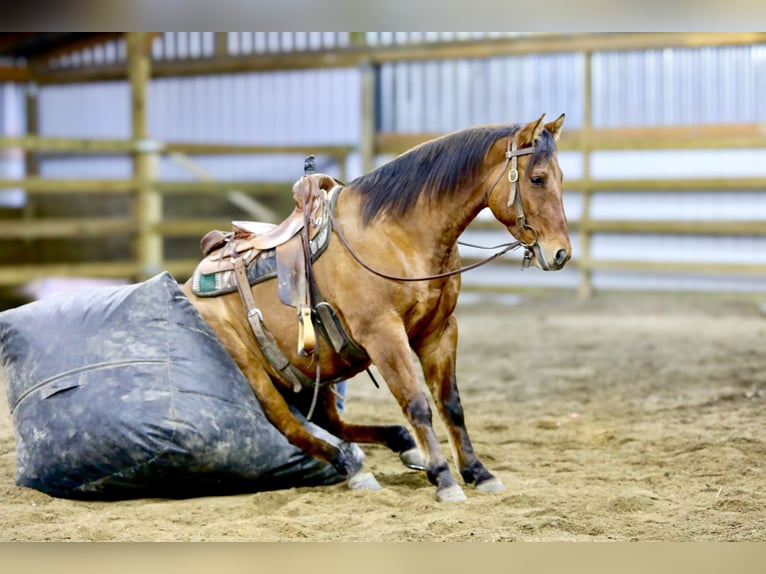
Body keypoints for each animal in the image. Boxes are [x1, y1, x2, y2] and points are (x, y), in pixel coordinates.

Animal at [182, 113, 571, 502]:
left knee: (331, 421)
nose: (561, 253)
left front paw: (478, 472)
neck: (396, 234)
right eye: (537, 179)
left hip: (315, 374)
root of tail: (189, 286)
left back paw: (400, 445)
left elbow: (451, 404)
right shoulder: (383, 334)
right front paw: (444, 478)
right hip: (255, 374)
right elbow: (417, 404)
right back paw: (354, 467)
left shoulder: (440, 331)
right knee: (291, 427)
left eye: (561, 177)